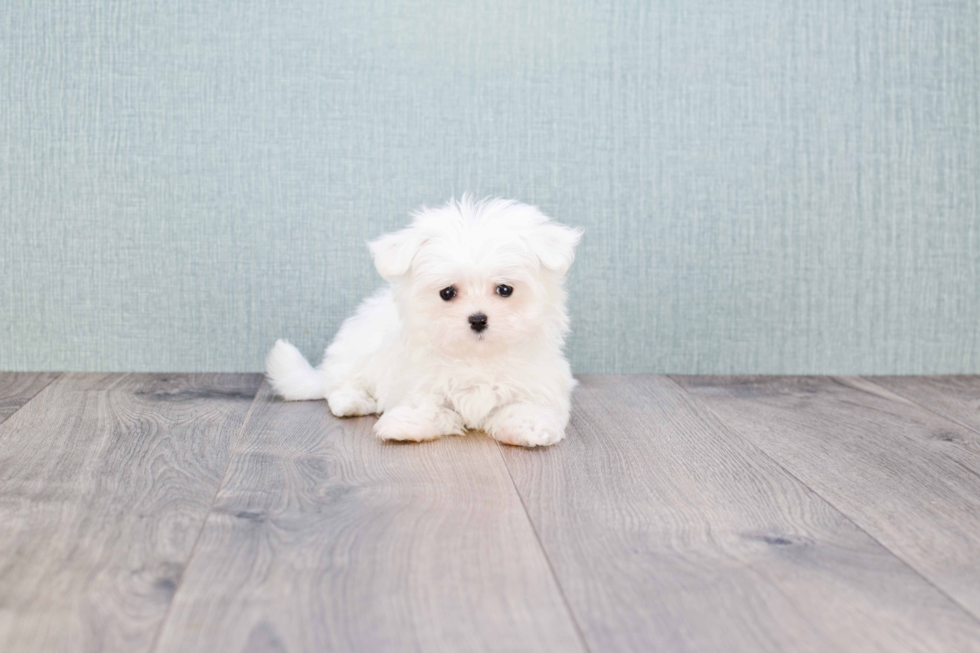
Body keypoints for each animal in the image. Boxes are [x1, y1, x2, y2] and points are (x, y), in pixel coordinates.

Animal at [264, 196, 580, 446]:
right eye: (447, 292)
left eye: (505, 289)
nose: (478, 319)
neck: (476, 357)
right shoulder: (417, 379)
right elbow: (425, 404)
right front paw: (407, 424)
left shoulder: (537, 382)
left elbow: (527, 406)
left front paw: (527, 428)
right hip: (357, 352)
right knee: (340, 383)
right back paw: (353, 402)